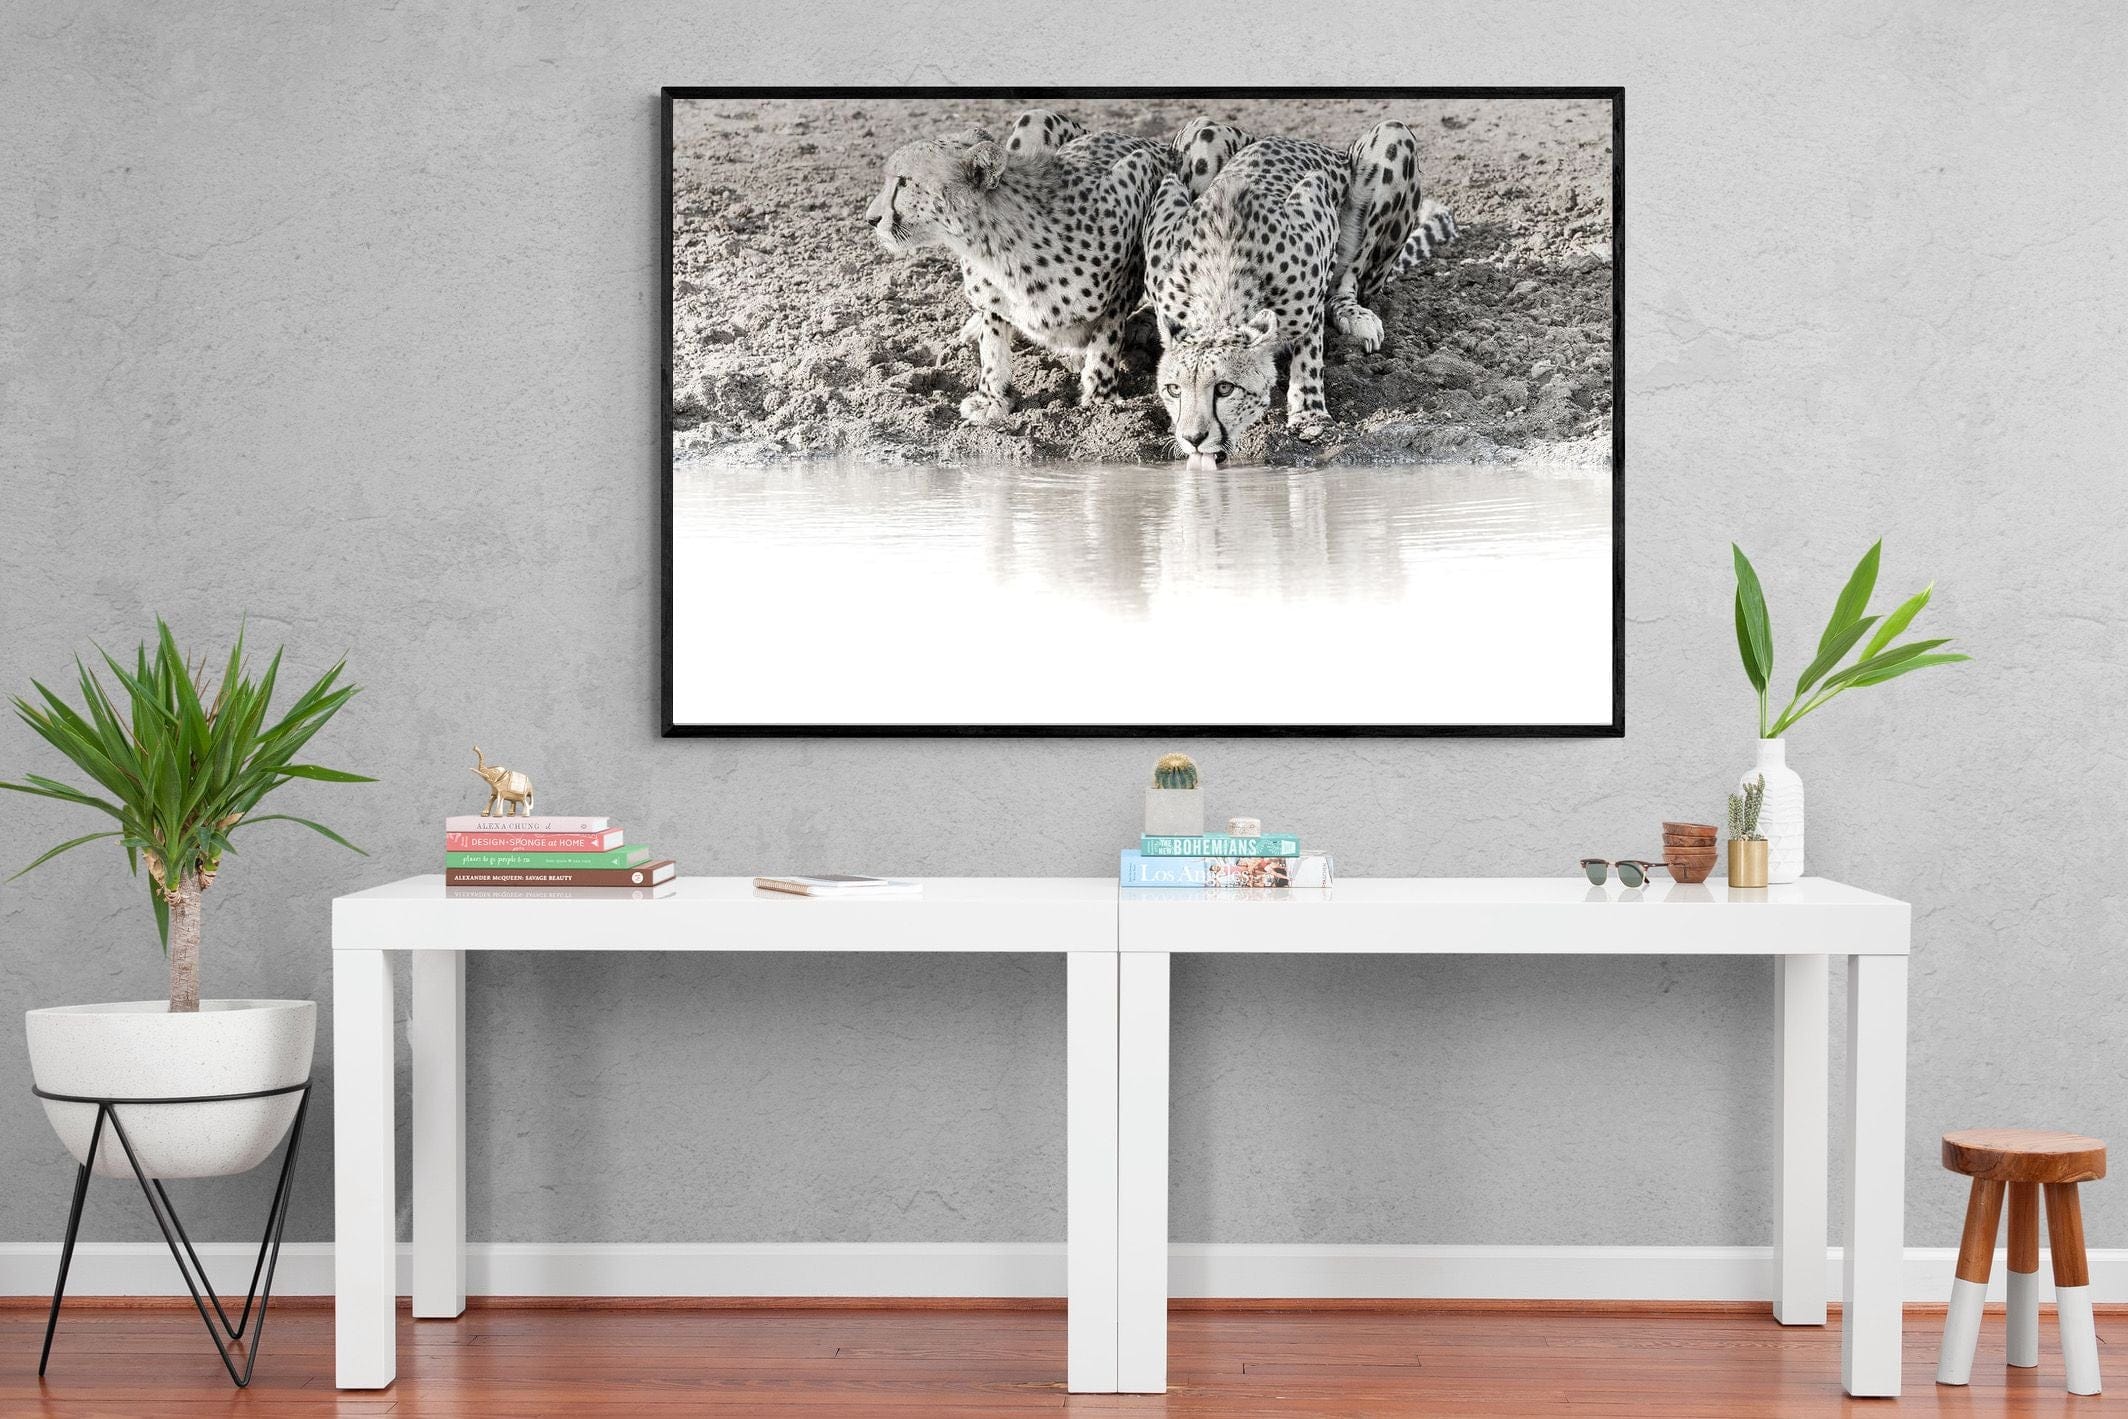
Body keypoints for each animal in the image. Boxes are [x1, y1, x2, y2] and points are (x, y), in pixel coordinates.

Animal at [865, 110, 1169, 426]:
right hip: (1034, 115)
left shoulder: (1143, 173)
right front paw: (991, 397)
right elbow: (992, 340)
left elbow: (1107, 333)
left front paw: (1100, 398)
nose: (870, 219)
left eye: (903, 182)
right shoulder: (992, 298)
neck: (993, 246)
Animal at [1146, 118, 1457, 458]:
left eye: (1224, 388)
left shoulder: (1318, 211)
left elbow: (1309, 349)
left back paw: (1353, 314)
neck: (1223, 288)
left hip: (1394, 136)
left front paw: (1310, 414)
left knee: (1351, 279)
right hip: (1202, 129)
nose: (1193, 438)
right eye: (1173, 389)